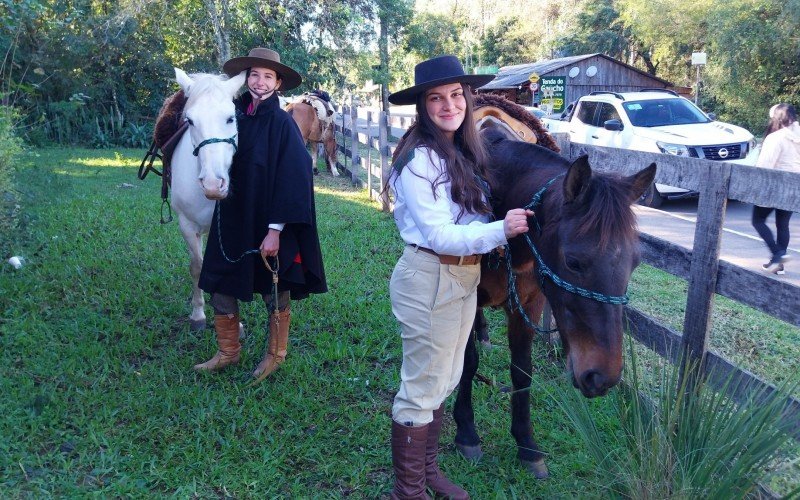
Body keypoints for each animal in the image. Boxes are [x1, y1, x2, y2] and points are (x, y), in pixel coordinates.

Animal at [170, 67, 242, 332]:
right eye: (190, 121)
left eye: (231, 118)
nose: (213, 185)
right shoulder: (187, 225)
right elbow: (197, 267)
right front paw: (198, 314)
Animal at [454, 124, 660, 476]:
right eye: (574, 262)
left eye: (635, 262)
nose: (602, 377)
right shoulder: (465, 298)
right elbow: (467, 363)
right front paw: (466, 432)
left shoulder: (529, 306)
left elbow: (522, 372)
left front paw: (527, 446)